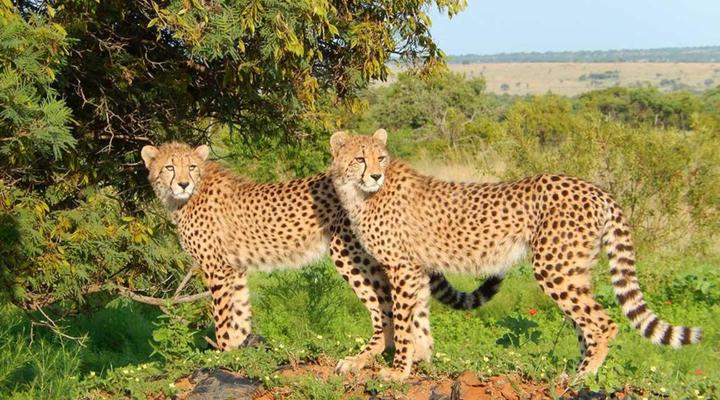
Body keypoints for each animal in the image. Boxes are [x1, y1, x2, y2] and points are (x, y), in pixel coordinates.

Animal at [140, 142, 503, 373]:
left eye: (191, 167)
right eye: (170, 167)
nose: (183, 183)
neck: (187, 197)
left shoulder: (217, 269)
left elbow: (223, 317)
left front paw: (222, 355)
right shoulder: (236, 270)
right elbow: (240, 313)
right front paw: (240, 353)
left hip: (350, 252)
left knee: (387, 310)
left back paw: (364, 359)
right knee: (418, 301)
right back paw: (421, 356)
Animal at [328, 129, 702, 381]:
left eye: (380, 157)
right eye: (360, 158)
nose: (376, 174)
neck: (359, 193)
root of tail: (594, 188)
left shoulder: (402, 268)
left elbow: (403, 321)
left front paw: (398, 370)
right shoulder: (415, 269)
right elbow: (417, 317)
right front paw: (419, 359)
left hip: (554, 268)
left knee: (603, 323)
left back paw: (583, 377)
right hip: (574, 270)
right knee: (584, 324)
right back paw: (572, 373)